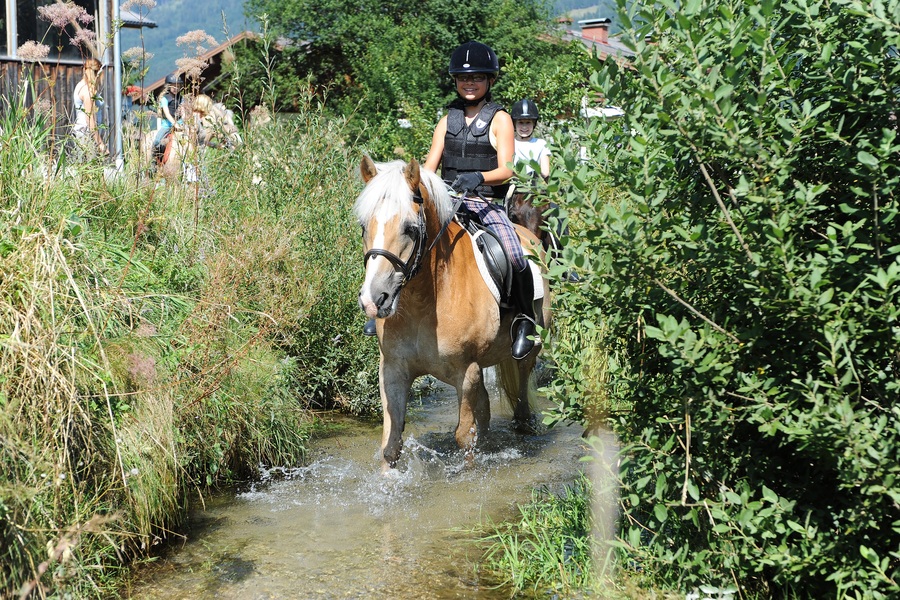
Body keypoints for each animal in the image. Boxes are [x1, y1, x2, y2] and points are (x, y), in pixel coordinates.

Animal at [356, 157, 552, 472]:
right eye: (364, 226)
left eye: (410, 228)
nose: (373, 300)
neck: (426, 299)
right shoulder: (392, 370)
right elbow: (391, 443)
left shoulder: (466, 372)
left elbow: (464, 437)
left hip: (528, 351)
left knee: (520, 394)